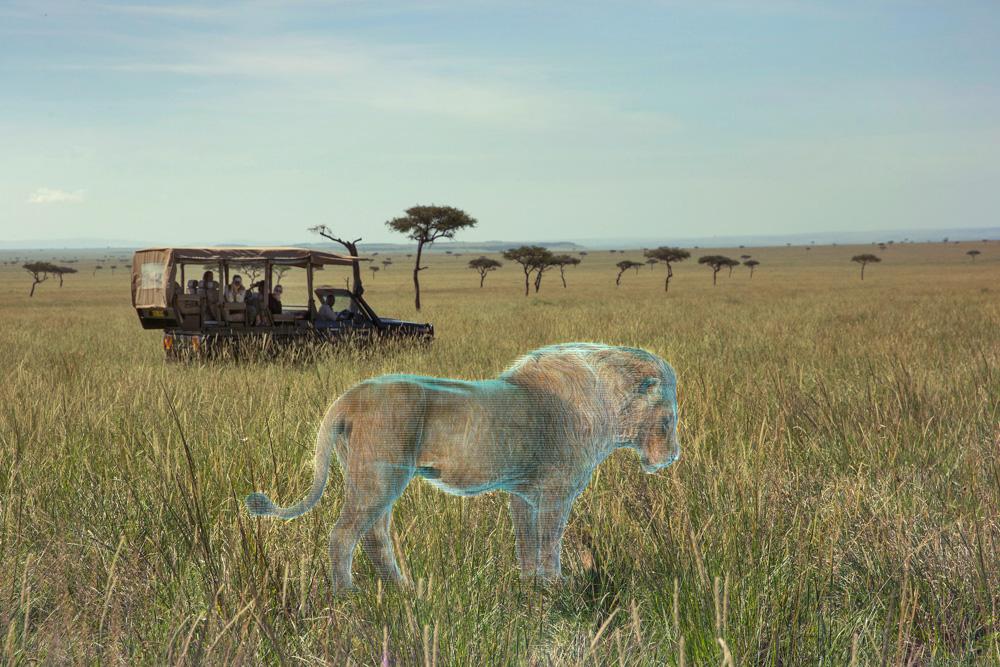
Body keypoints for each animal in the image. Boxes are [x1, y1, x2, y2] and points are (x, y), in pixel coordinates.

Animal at [246, 342, 680, 592]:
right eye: (669, 420)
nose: (673, 457)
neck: (610, 404)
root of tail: (347, 397)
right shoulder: (555, 494)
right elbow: (550, 542)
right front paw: (556, 585)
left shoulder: (524, 494)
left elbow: (527, 542)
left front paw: (531, 586)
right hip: (379, 479)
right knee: (343, 535)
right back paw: (346, 595)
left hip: (377, 479)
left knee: (374, 535)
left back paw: (403, 589)